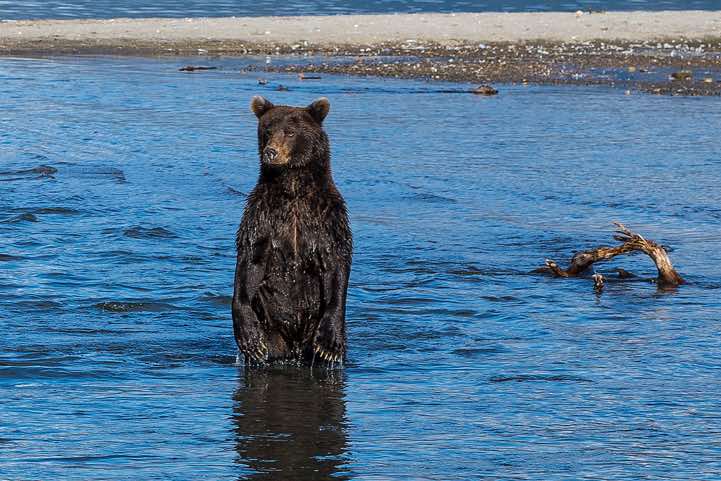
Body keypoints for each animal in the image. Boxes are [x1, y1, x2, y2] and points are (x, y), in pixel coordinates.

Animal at [232, 96, 352, 366]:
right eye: (267, 130)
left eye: (290, 132)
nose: (271, 152)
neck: (293, 187)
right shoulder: (262, 216)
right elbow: (250, 260)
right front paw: (249, 338)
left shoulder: (326, 219)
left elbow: (336, 264)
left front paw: (329, 344)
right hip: (270, 324)